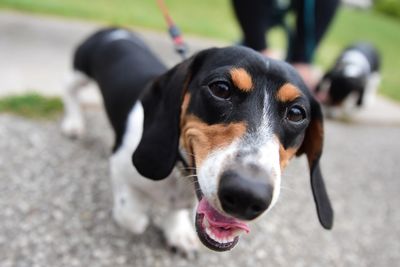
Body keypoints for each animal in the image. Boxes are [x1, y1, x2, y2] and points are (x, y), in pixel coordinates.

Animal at [61, 27, 332, 255]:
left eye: (296, 113)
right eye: (221, 89)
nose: (247, 195)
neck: (178, 173)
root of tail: (114, 29)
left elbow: (176, 211)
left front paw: (177, 231)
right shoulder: (119, 165)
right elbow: (132, 216)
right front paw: (136, 214)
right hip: (80, 71)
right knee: (69, 90)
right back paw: (73, 122)